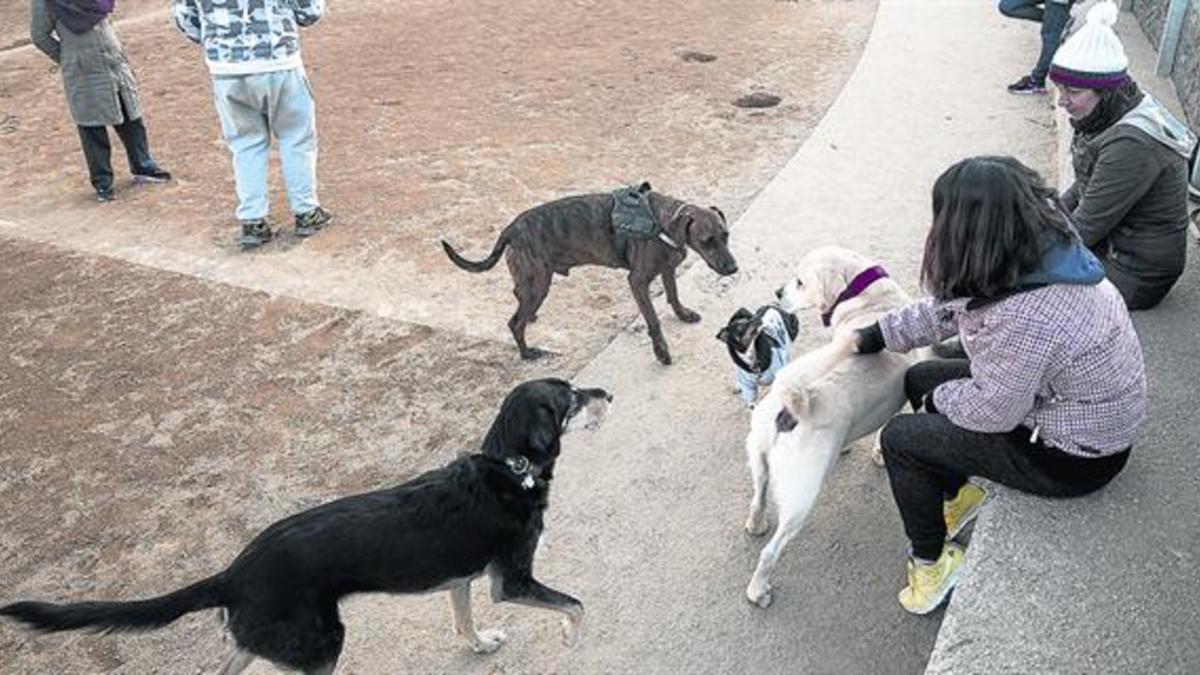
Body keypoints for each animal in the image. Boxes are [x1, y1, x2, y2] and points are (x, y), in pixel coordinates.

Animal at [0, 379, 614, 672]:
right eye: (569, 396)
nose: (606, 392)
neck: (511, 469)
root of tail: (232, 572)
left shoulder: (462, 578)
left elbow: (463, 623)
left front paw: (482, 644)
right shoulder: (510, 581)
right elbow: (578, 605)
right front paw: (569, 636)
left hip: (266, 642)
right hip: (322, 645)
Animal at [444, 181, 739, 365]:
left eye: (726, 235)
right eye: (707, 241)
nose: (733, 268)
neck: (664, 223)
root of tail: (511, 229)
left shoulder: (667, 269)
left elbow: (673, 295)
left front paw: (683, 314)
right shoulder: (638, 282)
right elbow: (653, 321)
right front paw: (661, 352)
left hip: (532, 281)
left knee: (518, 295)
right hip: (540, 283)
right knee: (514, 322)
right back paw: (527, 353)